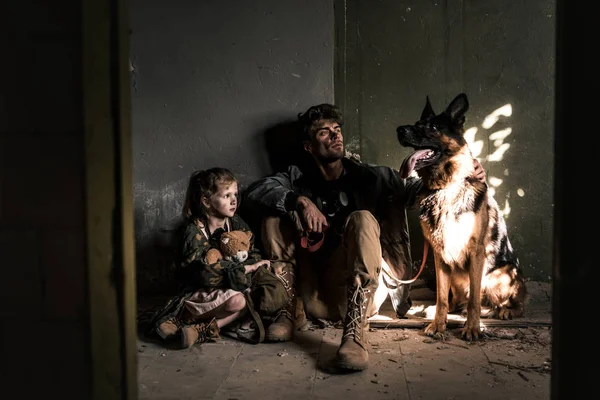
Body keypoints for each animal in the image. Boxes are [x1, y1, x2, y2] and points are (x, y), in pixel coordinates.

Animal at [396, 94, 528, 340]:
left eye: (432, 127)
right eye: (417, 123)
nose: (399, 129)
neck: (445, 187)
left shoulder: (476, 252)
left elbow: (474, 299)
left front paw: (472, 328)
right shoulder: (439, 254)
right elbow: (441, 297)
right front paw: (438, 324)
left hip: (503, 274)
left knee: (512, 303)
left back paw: (505, 311)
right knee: (457, 301)